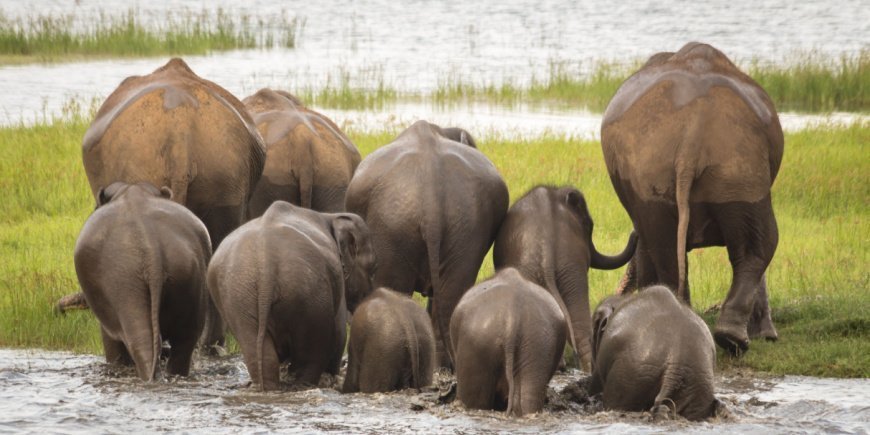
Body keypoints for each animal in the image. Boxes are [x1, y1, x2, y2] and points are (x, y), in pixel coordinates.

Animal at [74, 182, 211, 381]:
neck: (132, 191)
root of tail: (150, 249)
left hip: (124, 286)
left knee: (140, 342)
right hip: (189, 280)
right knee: (184, 342)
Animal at [207, 201, 376, 391]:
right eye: (373, 268)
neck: (330, 216)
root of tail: (266, 263)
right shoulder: (337, 275)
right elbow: (339, 333)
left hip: (238, 296)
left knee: (257, 348)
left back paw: (267, 387)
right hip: (309, 294)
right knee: (312, 350)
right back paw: (303, 384)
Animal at [600, 42, 783, 354]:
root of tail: (693, 134)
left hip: (677, 173)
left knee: (664, 243)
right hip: (736, 172)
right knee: (760, 244)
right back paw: (729, 338)